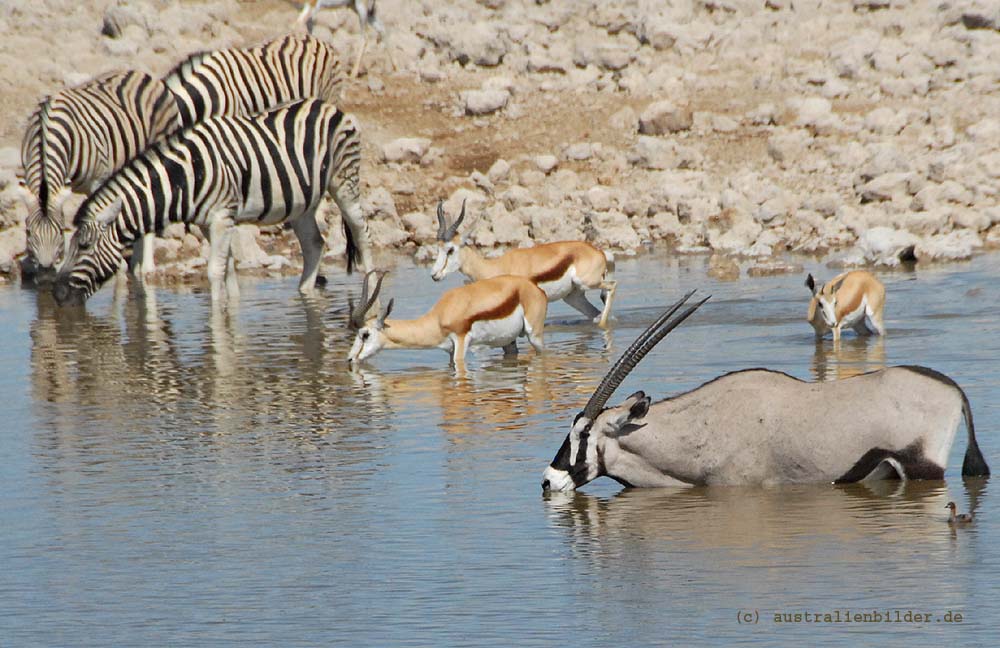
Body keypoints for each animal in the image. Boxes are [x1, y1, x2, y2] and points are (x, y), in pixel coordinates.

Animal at [19, 71, 180, 284]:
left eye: (61, 230)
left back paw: (145, 268)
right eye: (28, 232)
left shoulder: (98, 181)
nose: (45, 278)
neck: (46, 131)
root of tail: (144, 74)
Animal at [51, 98, 372, 306]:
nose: (59, 295)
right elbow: (227, 268)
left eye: (84, 246)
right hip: (300, 201)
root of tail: (327, 105)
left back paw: (370, 291)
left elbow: (214, 271)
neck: (184, 178)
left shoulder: (221, 217)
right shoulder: (210, 223)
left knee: (362, 233)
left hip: (345, 183)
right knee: (314, 244)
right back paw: (305, 293)